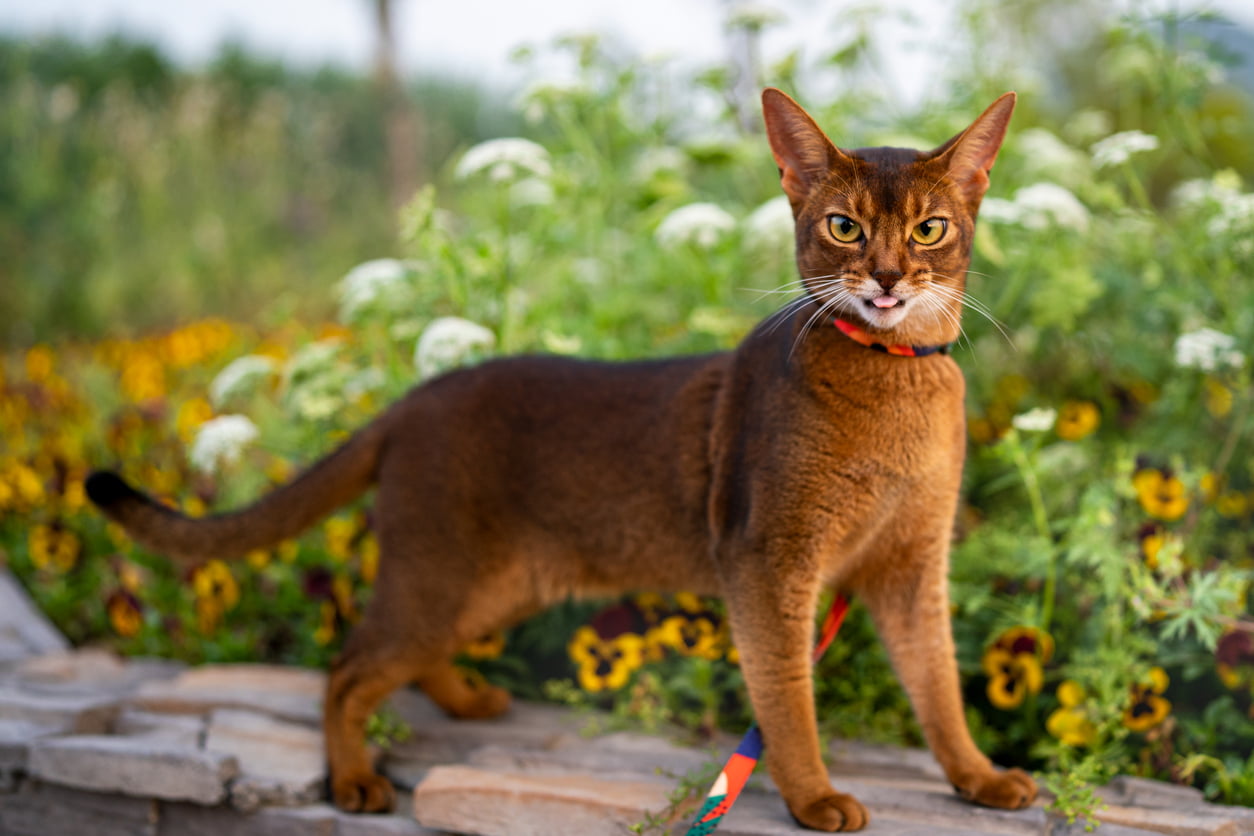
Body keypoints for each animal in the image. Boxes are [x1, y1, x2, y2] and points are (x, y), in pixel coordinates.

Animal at [83, 88, 1033, 832]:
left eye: (929, 229)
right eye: (843, 227)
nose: (888, 279)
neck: (895, 374)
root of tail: (413, 399)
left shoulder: (910, 566)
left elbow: (938, 685)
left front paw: (978, 777)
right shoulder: (769, 562)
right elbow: (787, 696)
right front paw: (813, 799)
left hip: (490, 583)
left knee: (402, 659)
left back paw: (467, 699)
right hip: (446, 574)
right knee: (347, 671)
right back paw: (353, 779)